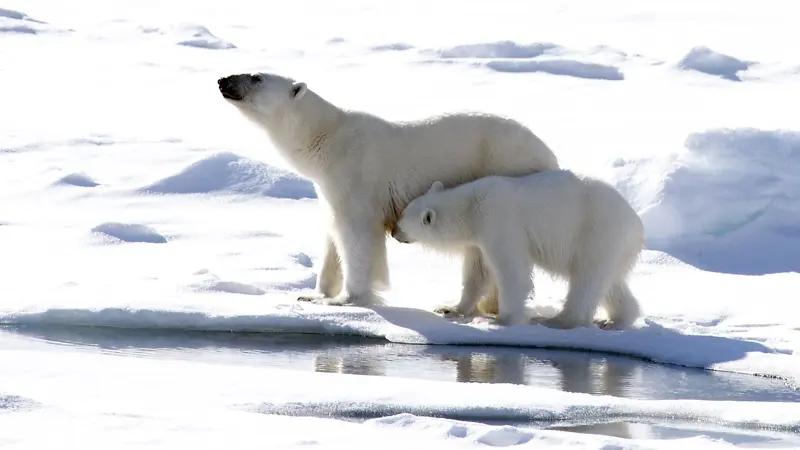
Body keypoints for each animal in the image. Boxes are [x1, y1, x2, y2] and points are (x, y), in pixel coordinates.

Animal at [216, 71, 560, 310]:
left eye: (256, 77)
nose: (223, 80)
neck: (326, 138)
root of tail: (550, 156)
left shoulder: (354, 174)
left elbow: (356, 235)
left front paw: (347, 298)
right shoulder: (328, 186)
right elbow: (331, 235)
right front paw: (314, 295)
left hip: (502, 173)